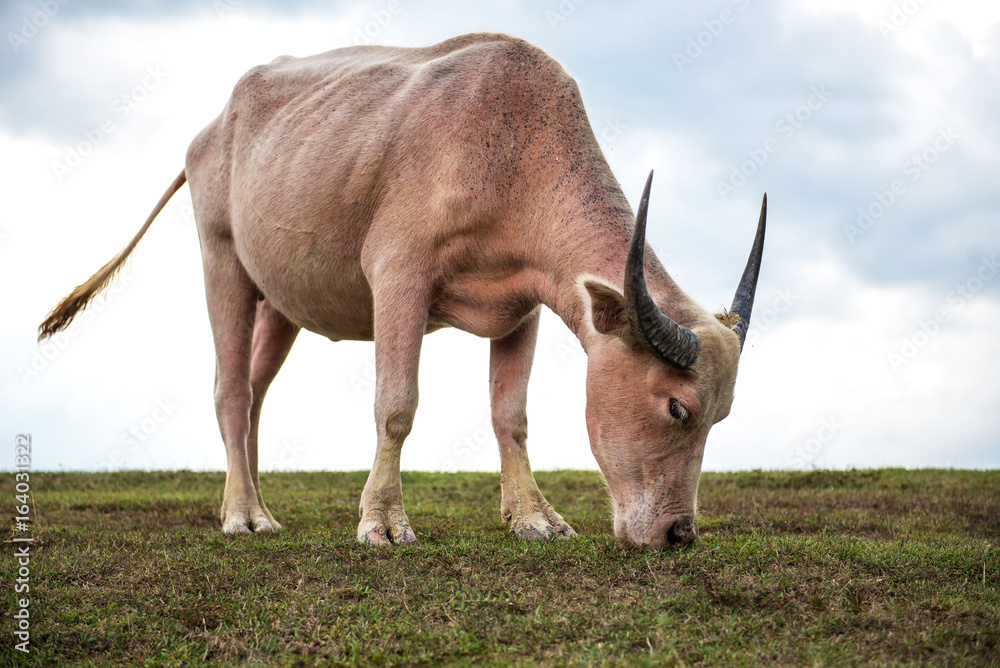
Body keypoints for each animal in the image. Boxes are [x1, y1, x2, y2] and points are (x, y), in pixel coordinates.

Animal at [41, 32, 764, 548]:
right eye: (677, 408)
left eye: (722, 416)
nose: (678, 534)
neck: (508, 148)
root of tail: (213, 128)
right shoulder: (398, 277)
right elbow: (397, 405)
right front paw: (383, 522)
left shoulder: (523, 307)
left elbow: (511, 415)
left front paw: (534, 518)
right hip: (223, 260)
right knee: (229, 389)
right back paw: (245, 515)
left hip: (281, 301)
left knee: (254, 392)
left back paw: (249, 501)